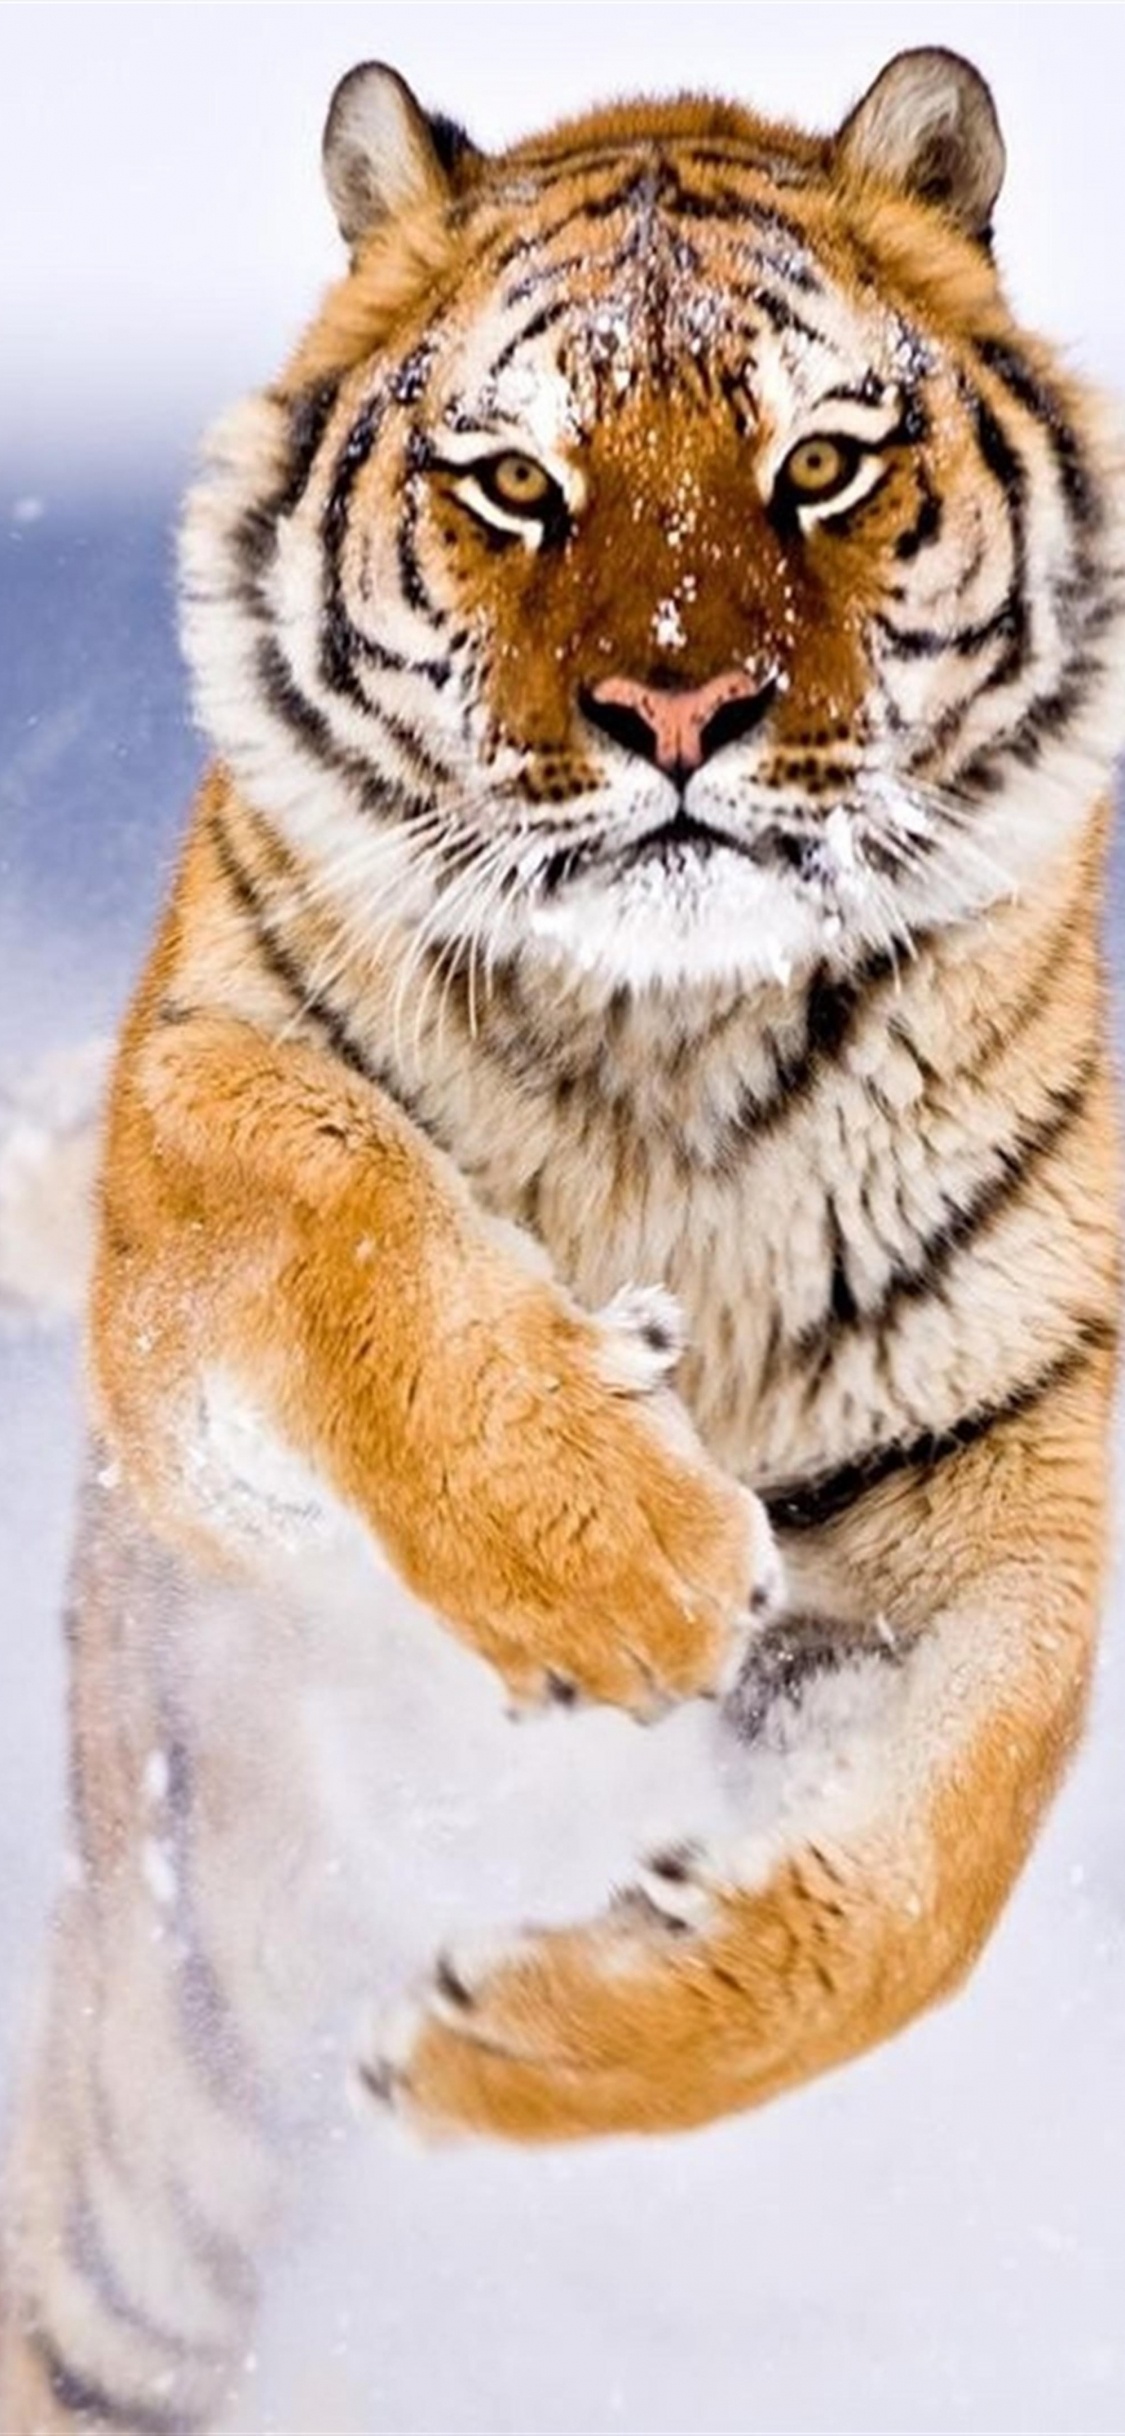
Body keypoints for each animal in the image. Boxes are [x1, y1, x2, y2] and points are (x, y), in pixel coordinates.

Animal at [3, 41, 1123, 2434]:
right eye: (515, 482)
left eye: (821, 462)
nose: (680, 711)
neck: (665, 1050)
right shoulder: (188, 1176)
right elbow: (340, 1197)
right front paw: (623, 1562)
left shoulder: (1003, 1472)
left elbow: (923, 1886)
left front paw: (512, 2041)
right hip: (153, 2172)